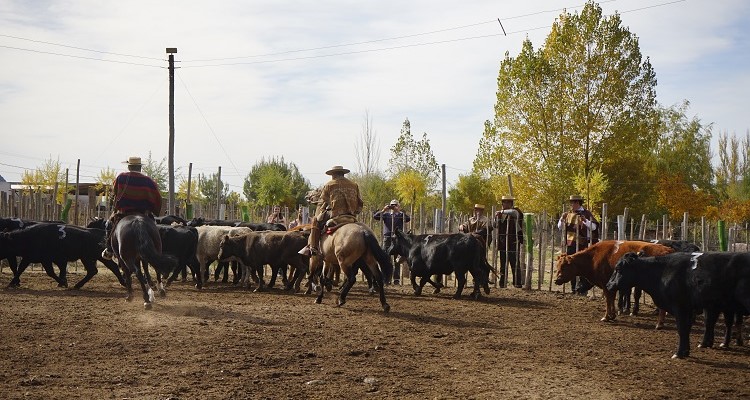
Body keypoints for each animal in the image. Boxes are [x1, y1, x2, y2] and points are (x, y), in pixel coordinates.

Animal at [608, 252, 748, 358]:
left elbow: (682, 329)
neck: (662, 272)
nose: (608, 285)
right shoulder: (694, 309)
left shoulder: (680, 307)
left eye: (618, 269)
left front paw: (679, 353)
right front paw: (686, 351)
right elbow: (689, 329)